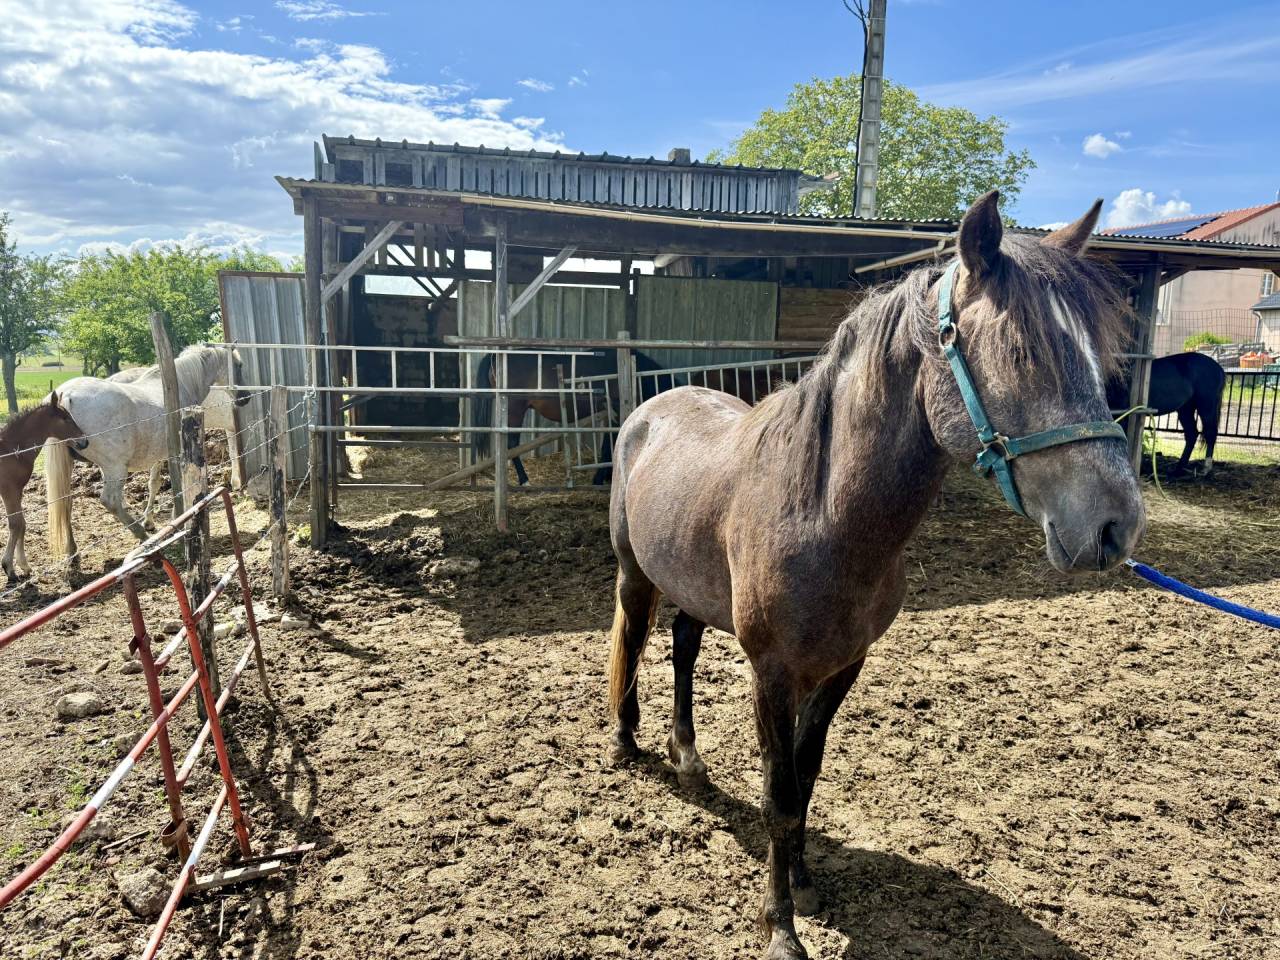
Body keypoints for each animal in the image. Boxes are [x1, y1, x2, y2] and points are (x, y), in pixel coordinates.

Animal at [0, 393, 88, 581]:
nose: (84, 441)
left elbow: (22, 524)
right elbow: (16, 524)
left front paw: (24, 566)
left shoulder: (18, 491)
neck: (12, 450)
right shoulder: (9, 491)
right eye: (65, 418)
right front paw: (9, 568)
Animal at [45, 345, 247, 558]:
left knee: (65, 504)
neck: (182, 384)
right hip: (115, 468)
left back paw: (72, 551)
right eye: (239, 365)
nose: (245, 398)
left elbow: (154, 483)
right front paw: (177, 518)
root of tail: (66, 395)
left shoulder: (159, 455)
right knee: (110, 501)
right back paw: (144, 538)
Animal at [472, 349, 677, 486]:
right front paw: (600, 478)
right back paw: (524, 480)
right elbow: (609, 444)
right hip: (515, 409)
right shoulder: (615, 412)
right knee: (512, 444)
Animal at [604, 193, 1146, 960]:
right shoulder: (772, 675)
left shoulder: (843, 667)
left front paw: (803, 884)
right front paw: (780, 927)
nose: (1115, 524)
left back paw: (687, 755)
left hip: (693, 588)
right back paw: (627, 743)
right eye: (1021, 352)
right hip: (635, 575)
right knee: (634, 640)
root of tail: (654, 406)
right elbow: (779, 794)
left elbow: (806, 779)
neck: (826, 514)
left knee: (682, 648)